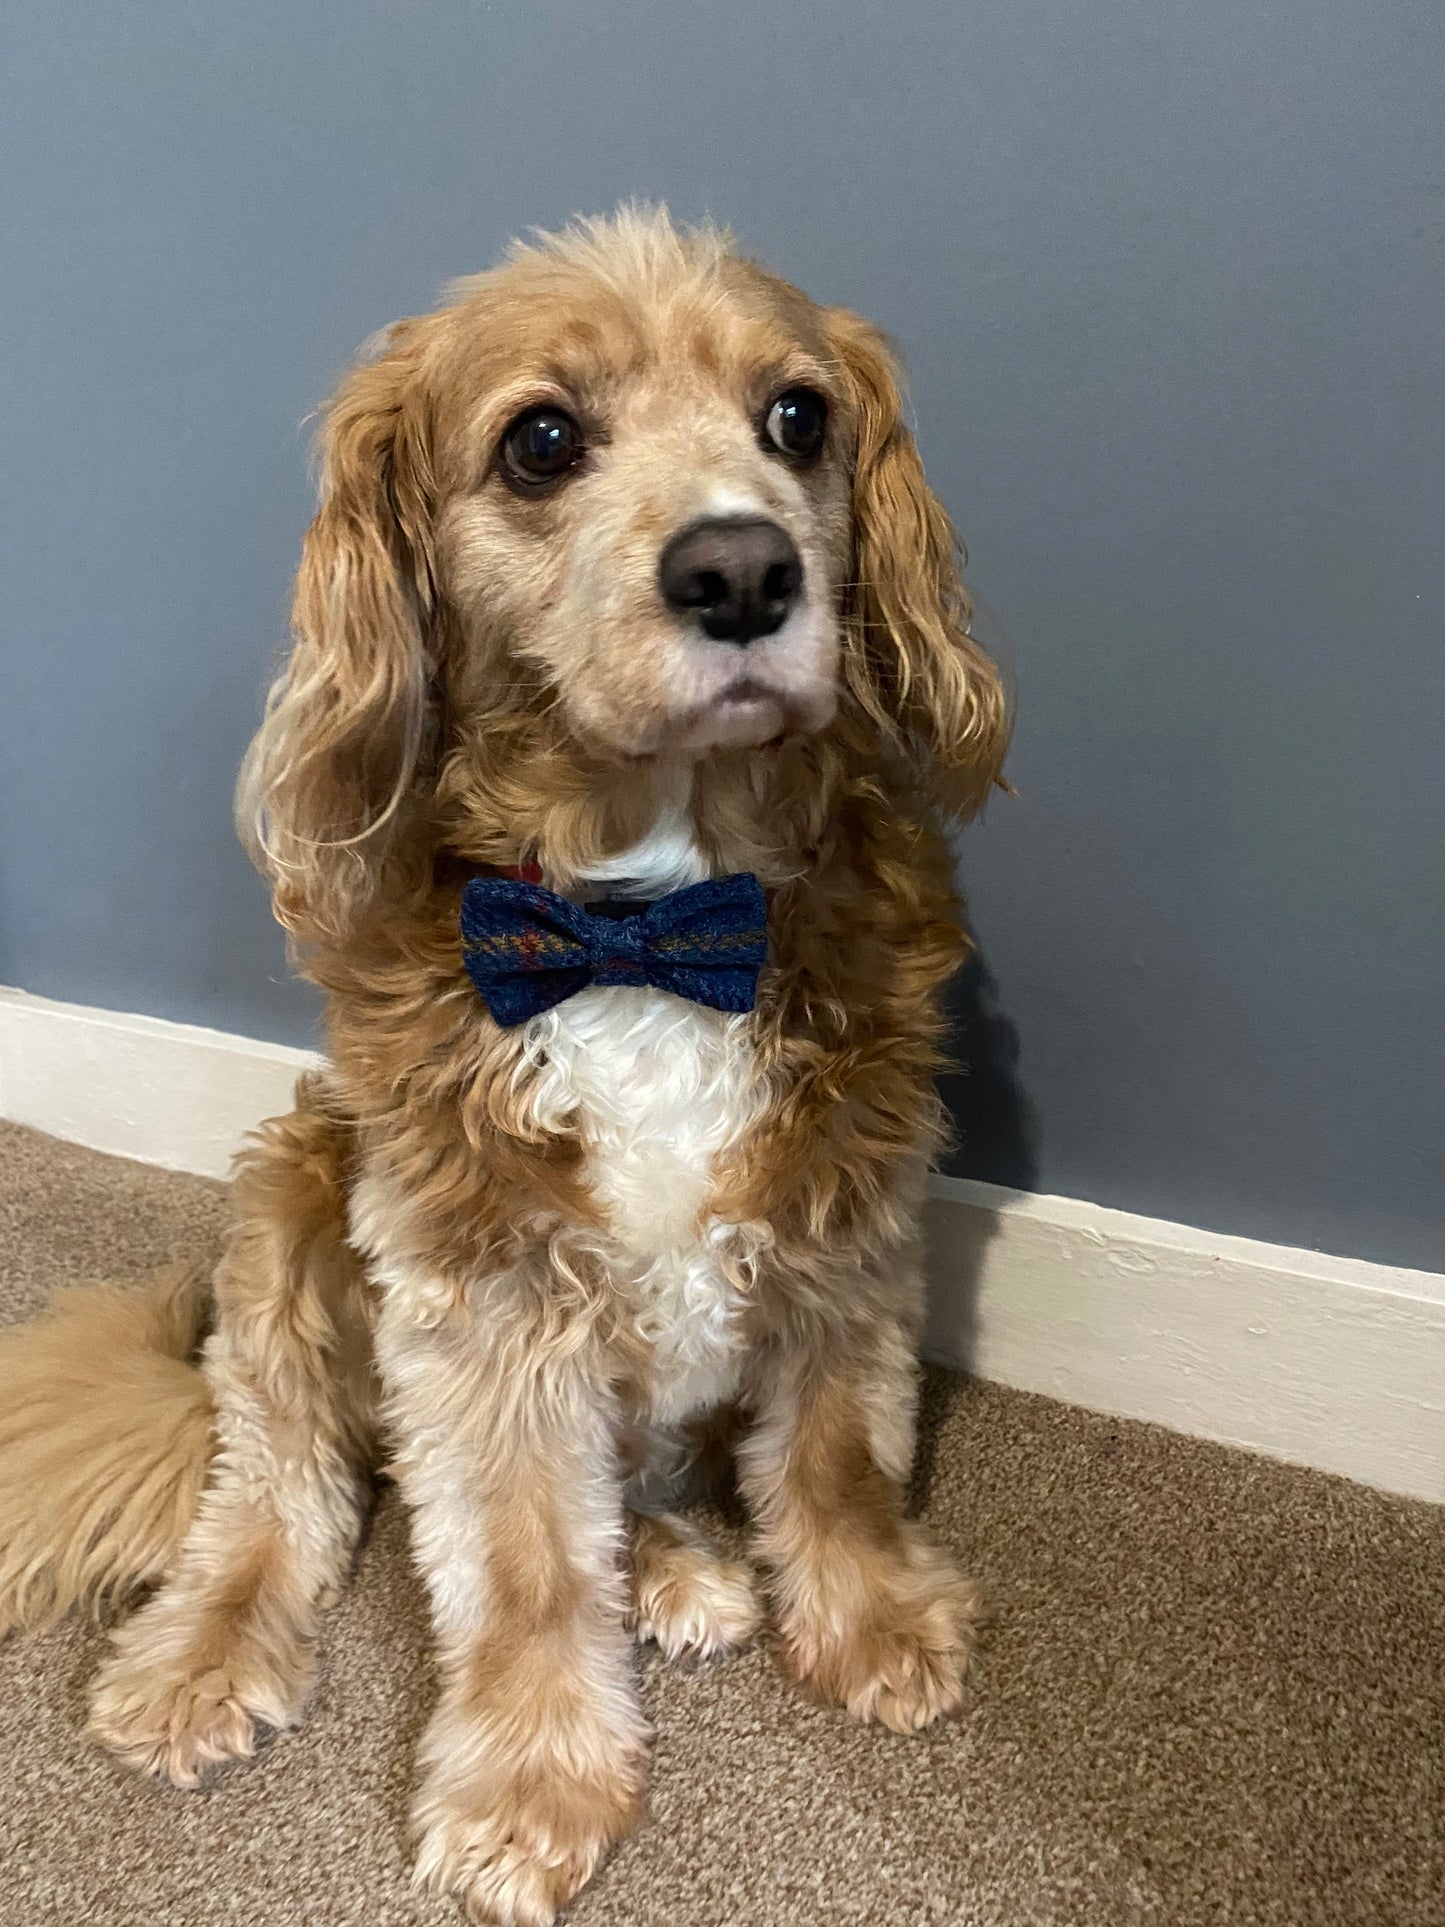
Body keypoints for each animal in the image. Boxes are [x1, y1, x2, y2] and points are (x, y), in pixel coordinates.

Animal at [0, 211, 1009, 1927]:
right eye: (541, 441)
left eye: (798, 416)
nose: (744, 569)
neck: (649, 913)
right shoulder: (483, 1289)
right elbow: (527, 1559)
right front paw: (533, 1787)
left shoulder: (846, 1203)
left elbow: (831, 1453)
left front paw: (874, 1622)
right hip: (294, 1198)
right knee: (276, 1487)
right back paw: (202, 1657)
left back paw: (677, 1563)